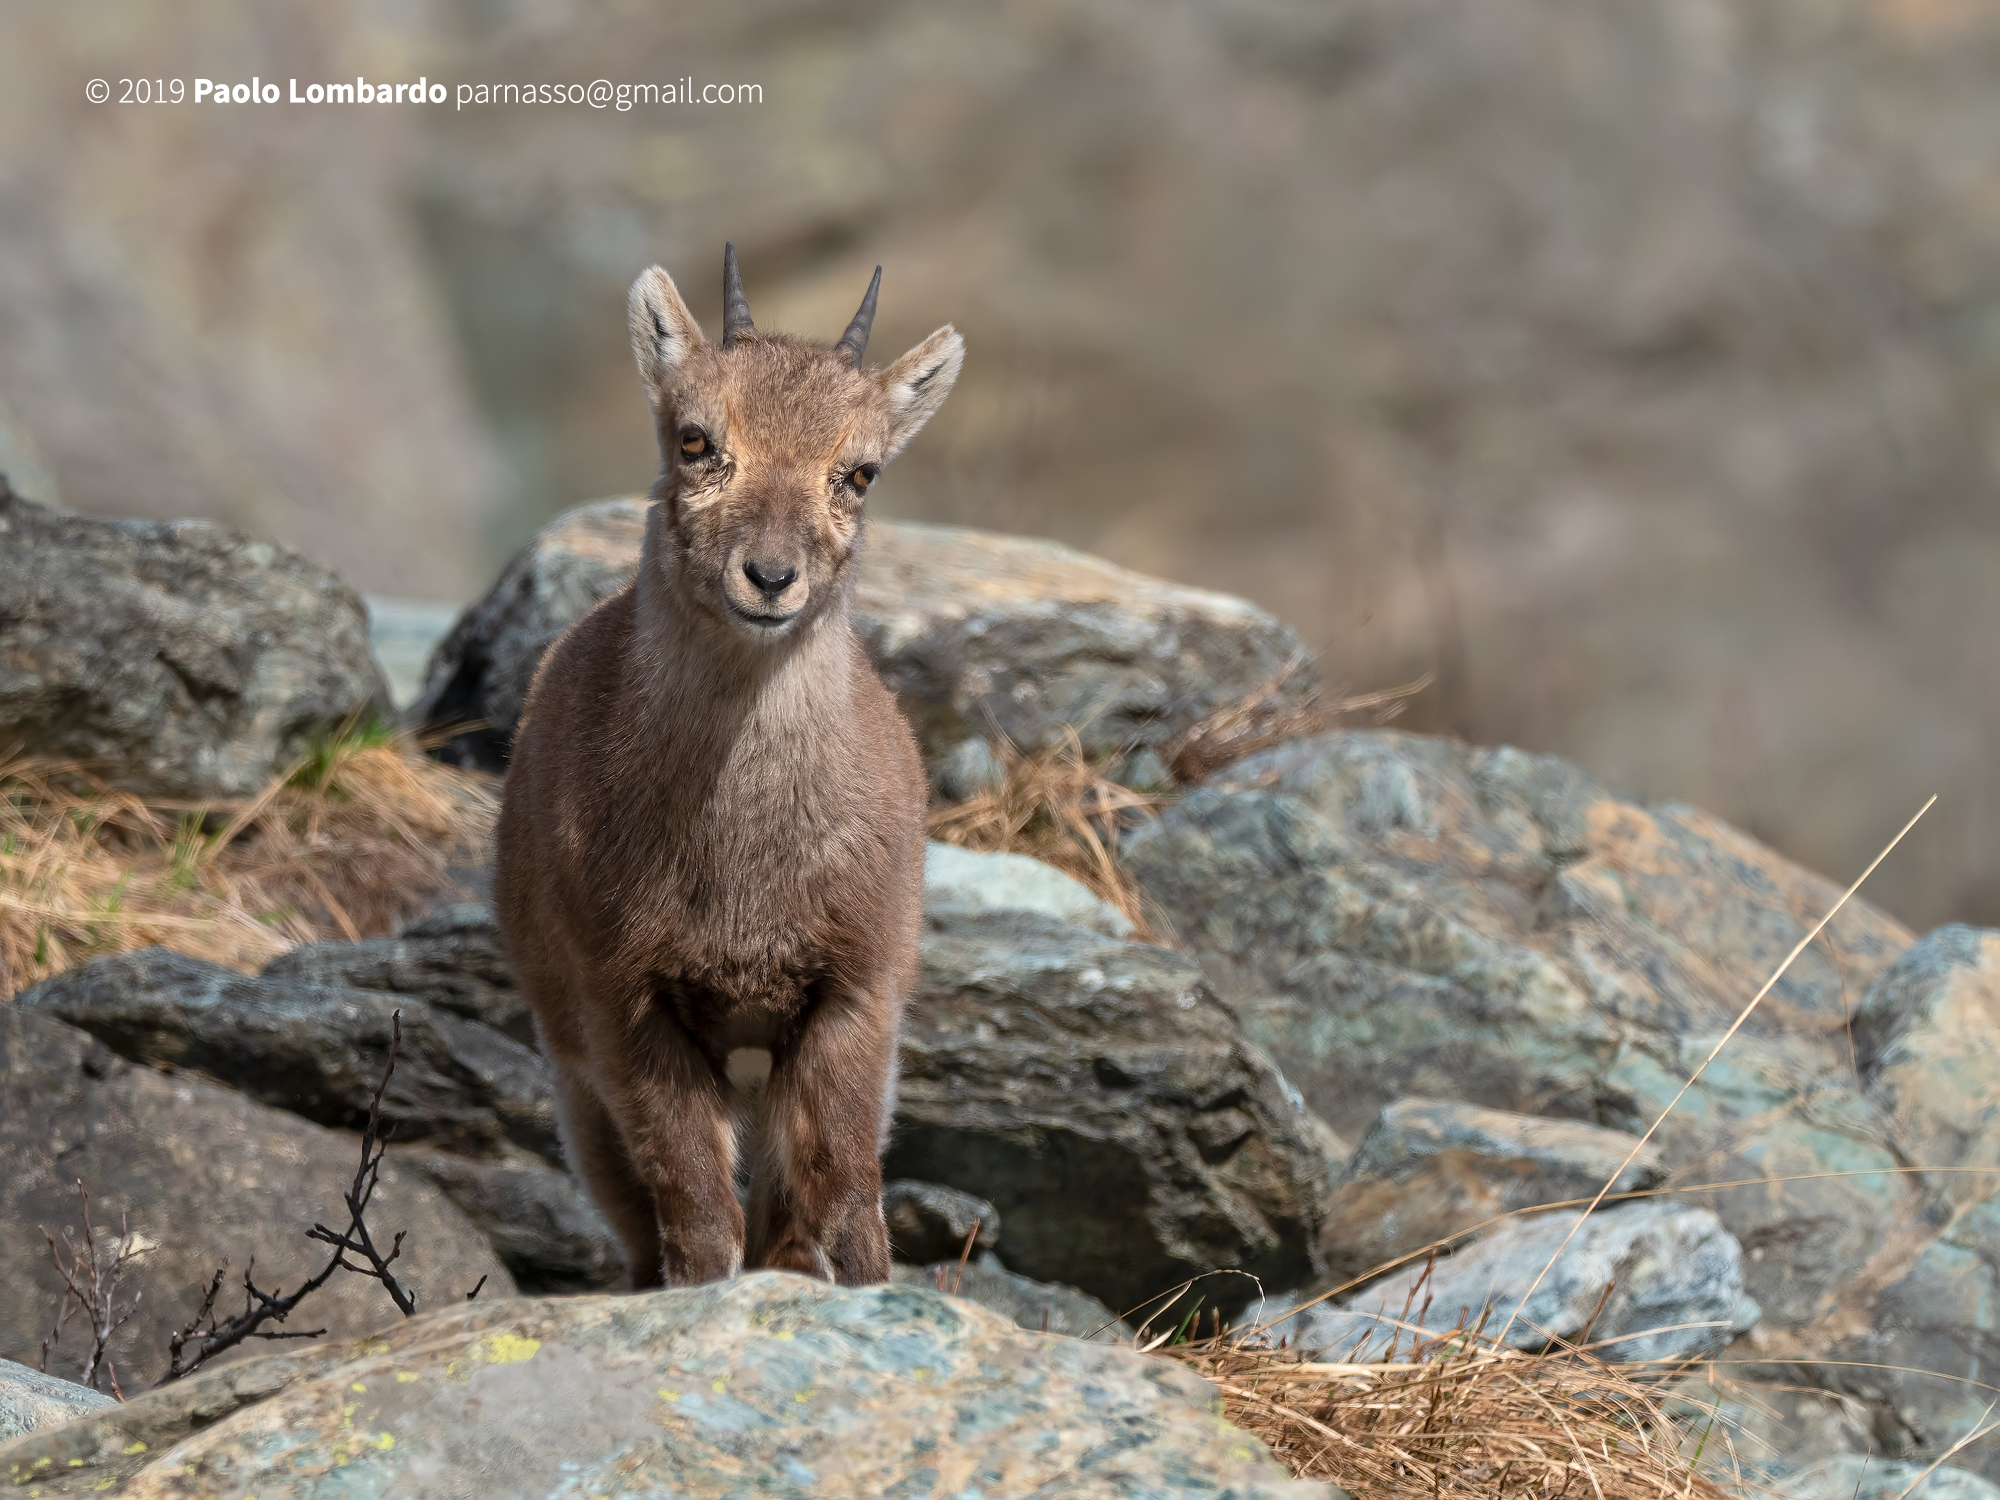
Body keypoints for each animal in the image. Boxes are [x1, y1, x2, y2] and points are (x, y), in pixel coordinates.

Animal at [495, 245, 963, 1287]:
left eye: (860, 471)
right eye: (696, 438)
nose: (771, 577)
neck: (743, 865)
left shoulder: (856, 995)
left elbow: (848, 1204)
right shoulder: (625, 1002)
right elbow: (700, 1219)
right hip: (578, 1087)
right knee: (648, 1228)